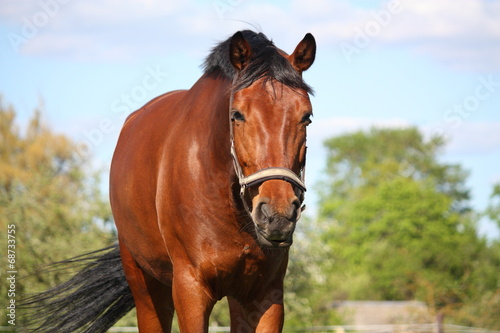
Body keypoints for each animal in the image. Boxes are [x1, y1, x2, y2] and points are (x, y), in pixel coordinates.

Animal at [23, 29, 314, 330]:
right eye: (237, 115)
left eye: (307, 117)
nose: (277, 215)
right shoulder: (190, 290)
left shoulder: (265, 294)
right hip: (145, 286)